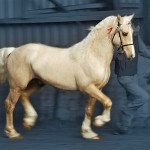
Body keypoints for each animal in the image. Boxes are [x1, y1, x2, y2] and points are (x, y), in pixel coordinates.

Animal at [0, 14, 135, 139]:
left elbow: (89, 110)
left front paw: (88, 133)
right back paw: (12, 132)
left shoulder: (96, 89)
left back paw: (29, 121)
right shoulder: (88, 87)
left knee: (24, 96)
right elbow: (108, 102)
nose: (131, 56)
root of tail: (13, 51)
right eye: (124, 33)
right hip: (17, 86)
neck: (93, 56)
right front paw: (99, 121)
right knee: (9, 104)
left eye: (132, 32)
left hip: (36, 82)